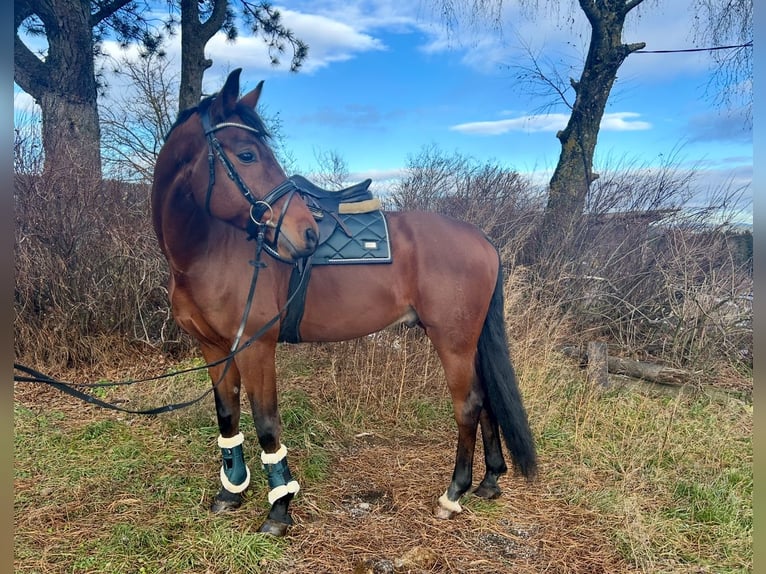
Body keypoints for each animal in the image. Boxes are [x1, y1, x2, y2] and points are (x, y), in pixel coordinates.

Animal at [152, 68, 540, 540]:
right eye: (246, 154)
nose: (307, 234)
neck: (208, 250)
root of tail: (482, 238)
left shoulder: (256, 349)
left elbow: (266, 425)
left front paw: (279, 509)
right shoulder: (214, 349)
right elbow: (228, 417)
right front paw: (231, 491)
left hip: (453, 342)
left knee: (467, 406)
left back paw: (453, 494)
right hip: (467, 343)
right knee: (485, 401)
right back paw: (489, 481)